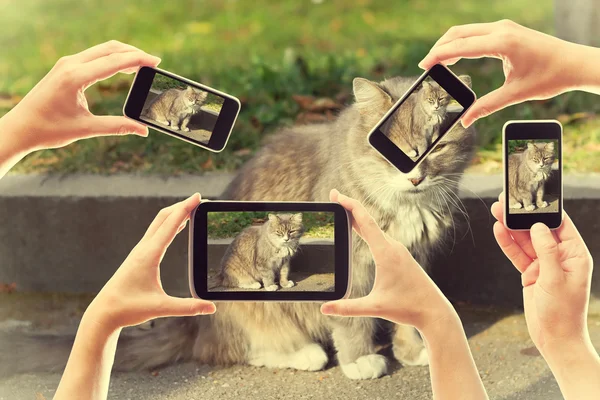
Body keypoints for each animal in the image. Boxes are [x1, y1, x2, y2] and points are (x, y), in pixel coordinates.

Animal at [1, 74, 478, 382]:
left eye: (438, 146)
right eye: (389, 147)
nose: (415, 176)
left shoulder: (414, 260)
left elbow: (408, 316)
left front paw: (412, 349)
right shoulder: (356, 270)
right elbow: (353, 323)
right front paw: (362, 361)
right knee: (228, 349)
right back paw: (302, 353)